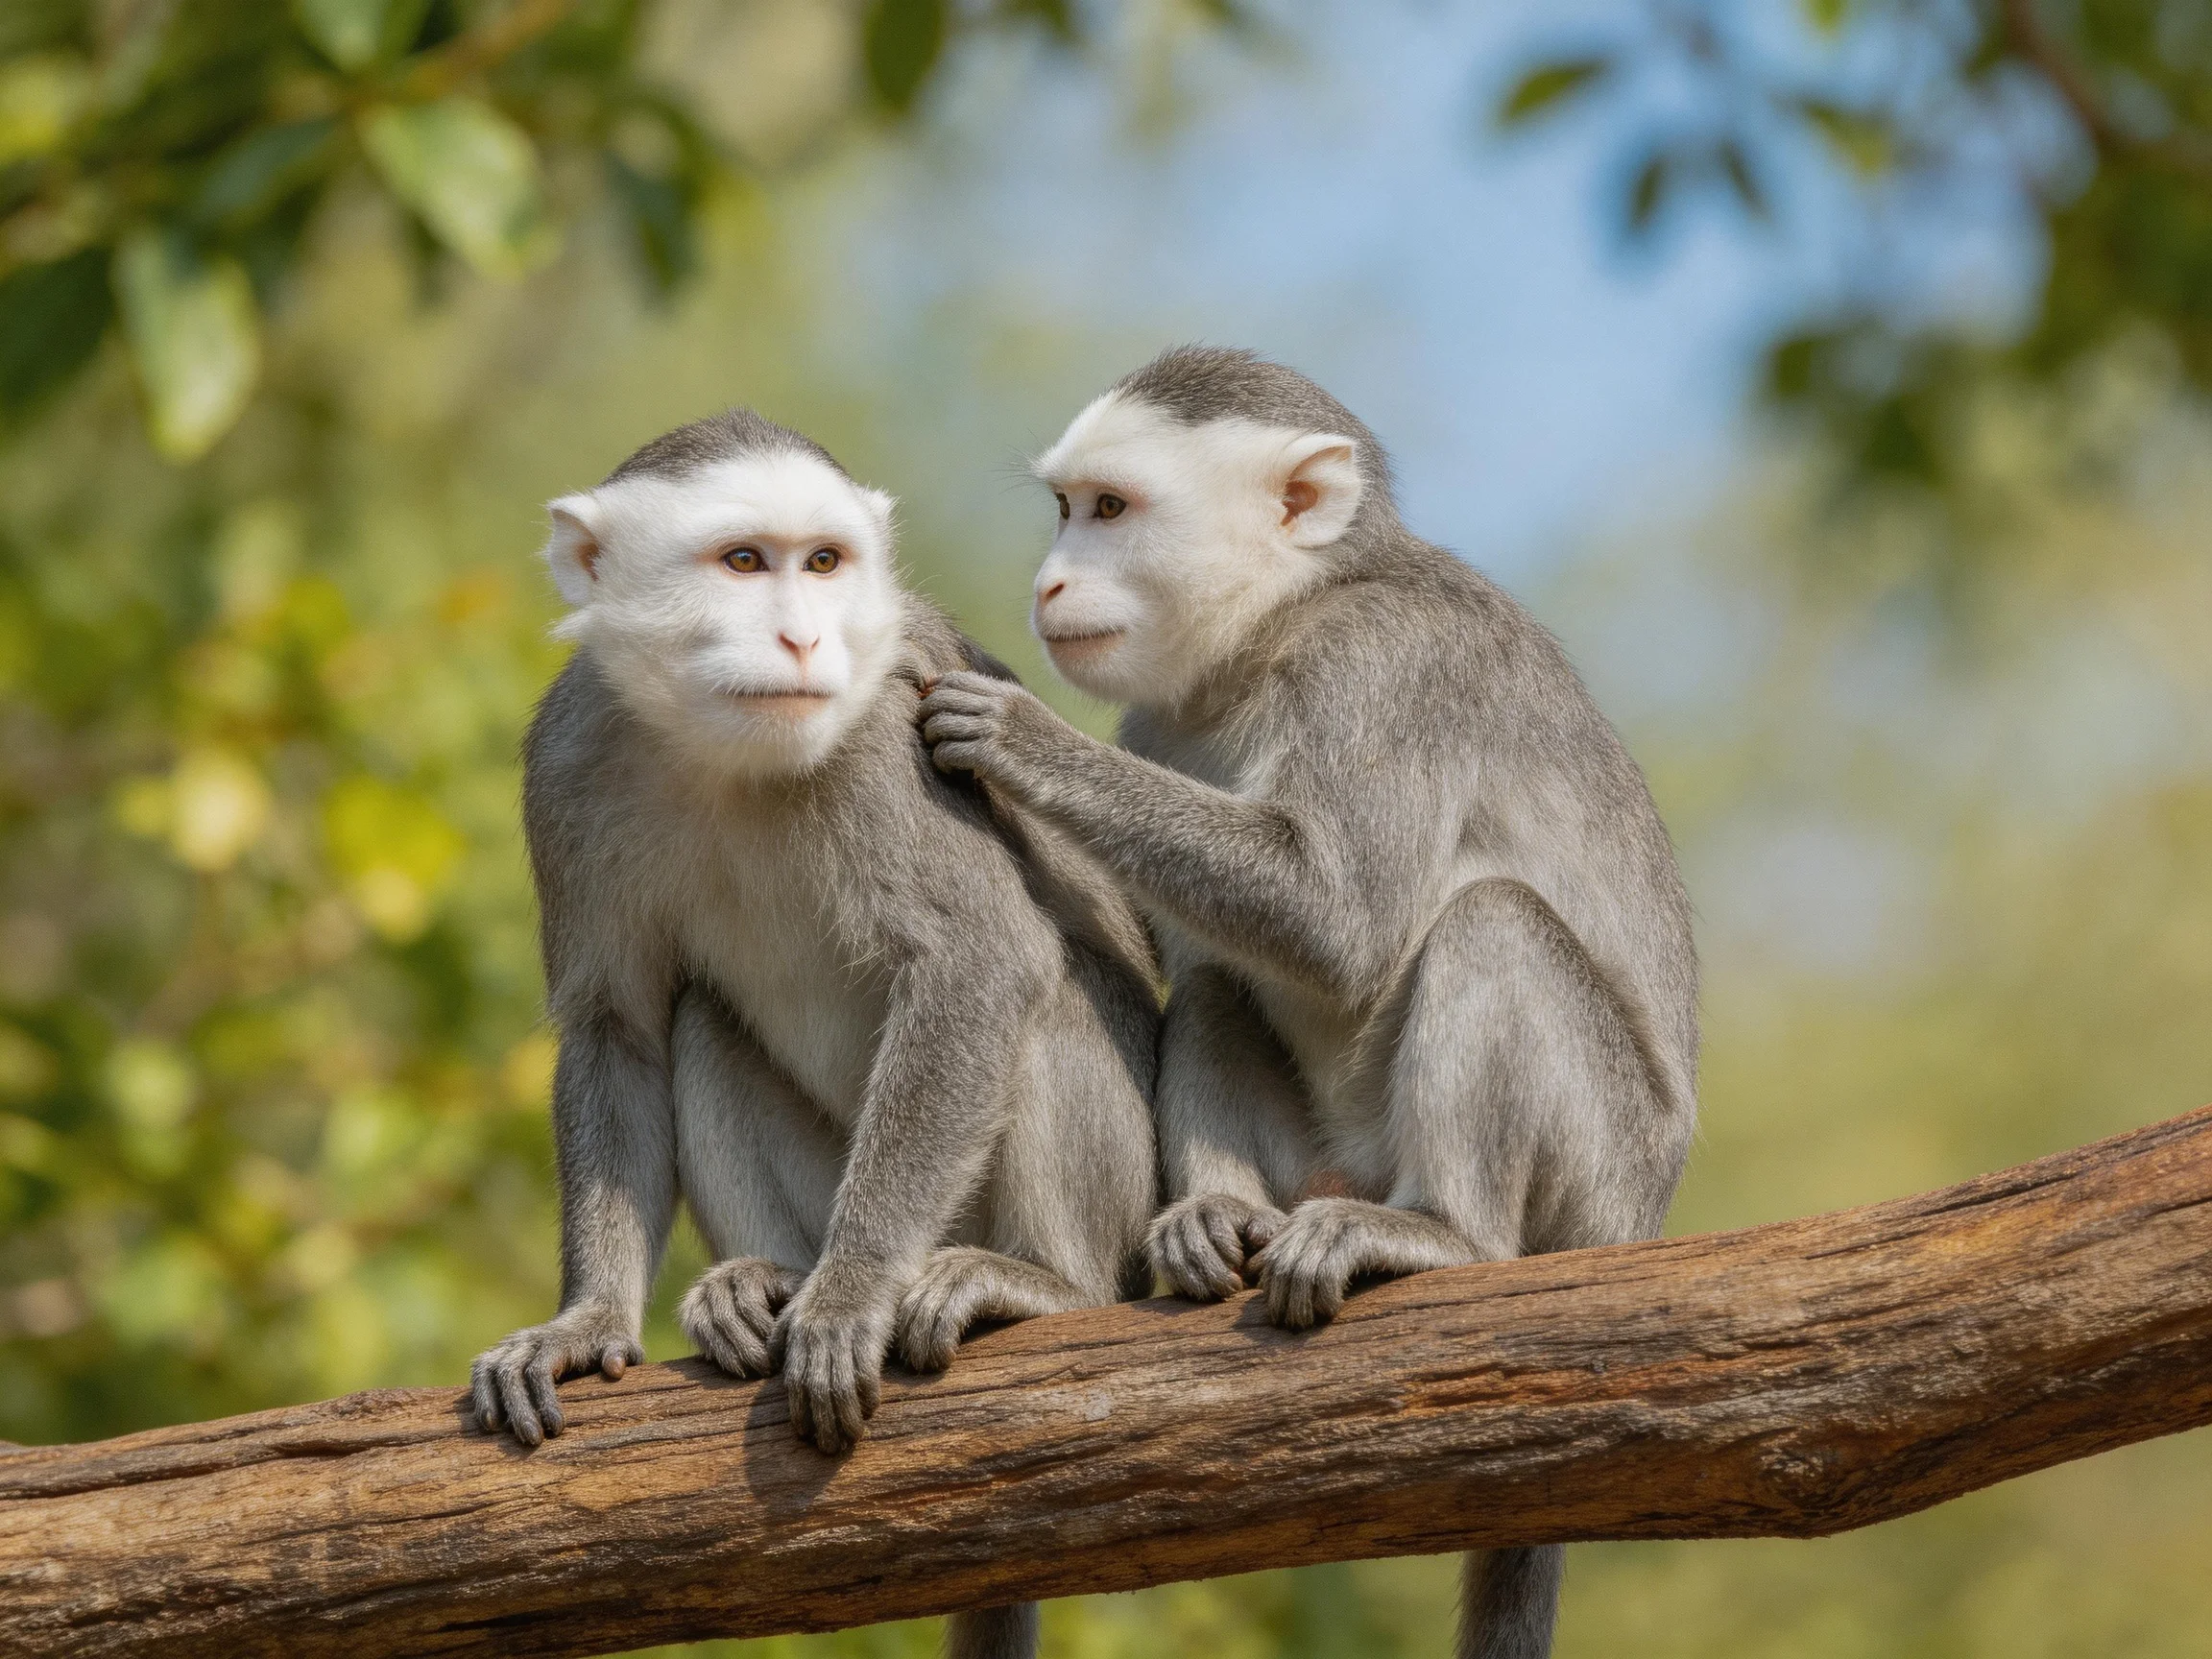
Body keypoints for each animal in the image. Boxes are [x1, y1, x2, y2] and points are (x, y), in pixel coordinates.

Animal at [470, 409, 1159, 1659]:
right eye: (746, 562)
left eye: (825, 563)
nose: (802, 636)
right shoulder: (570, 757)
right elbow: (619, 1028)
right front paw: (586, 1321)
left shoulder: (895, 726)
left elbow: (983, 962)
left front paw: (850, 1295)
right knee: (699, 1017)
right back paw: (769, 1281)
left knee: (1046, 986)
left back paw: (1044, 1285)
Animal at [916, 348, 1698, 1659]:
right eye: (1067, 509)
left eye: (1110, 509)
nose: (1050, 580)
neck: (1284, 623)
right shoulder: (1160, 717)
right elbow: (1199, 949)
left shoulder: (1383, 665)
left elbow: (1340, 922)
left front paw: (1020, 739)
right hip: (1328, 1163)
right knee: (1221, 980)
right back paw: (1219, 1215)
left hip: (1602, 1182)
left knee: (1490, 925)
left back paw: (1446, 1236)